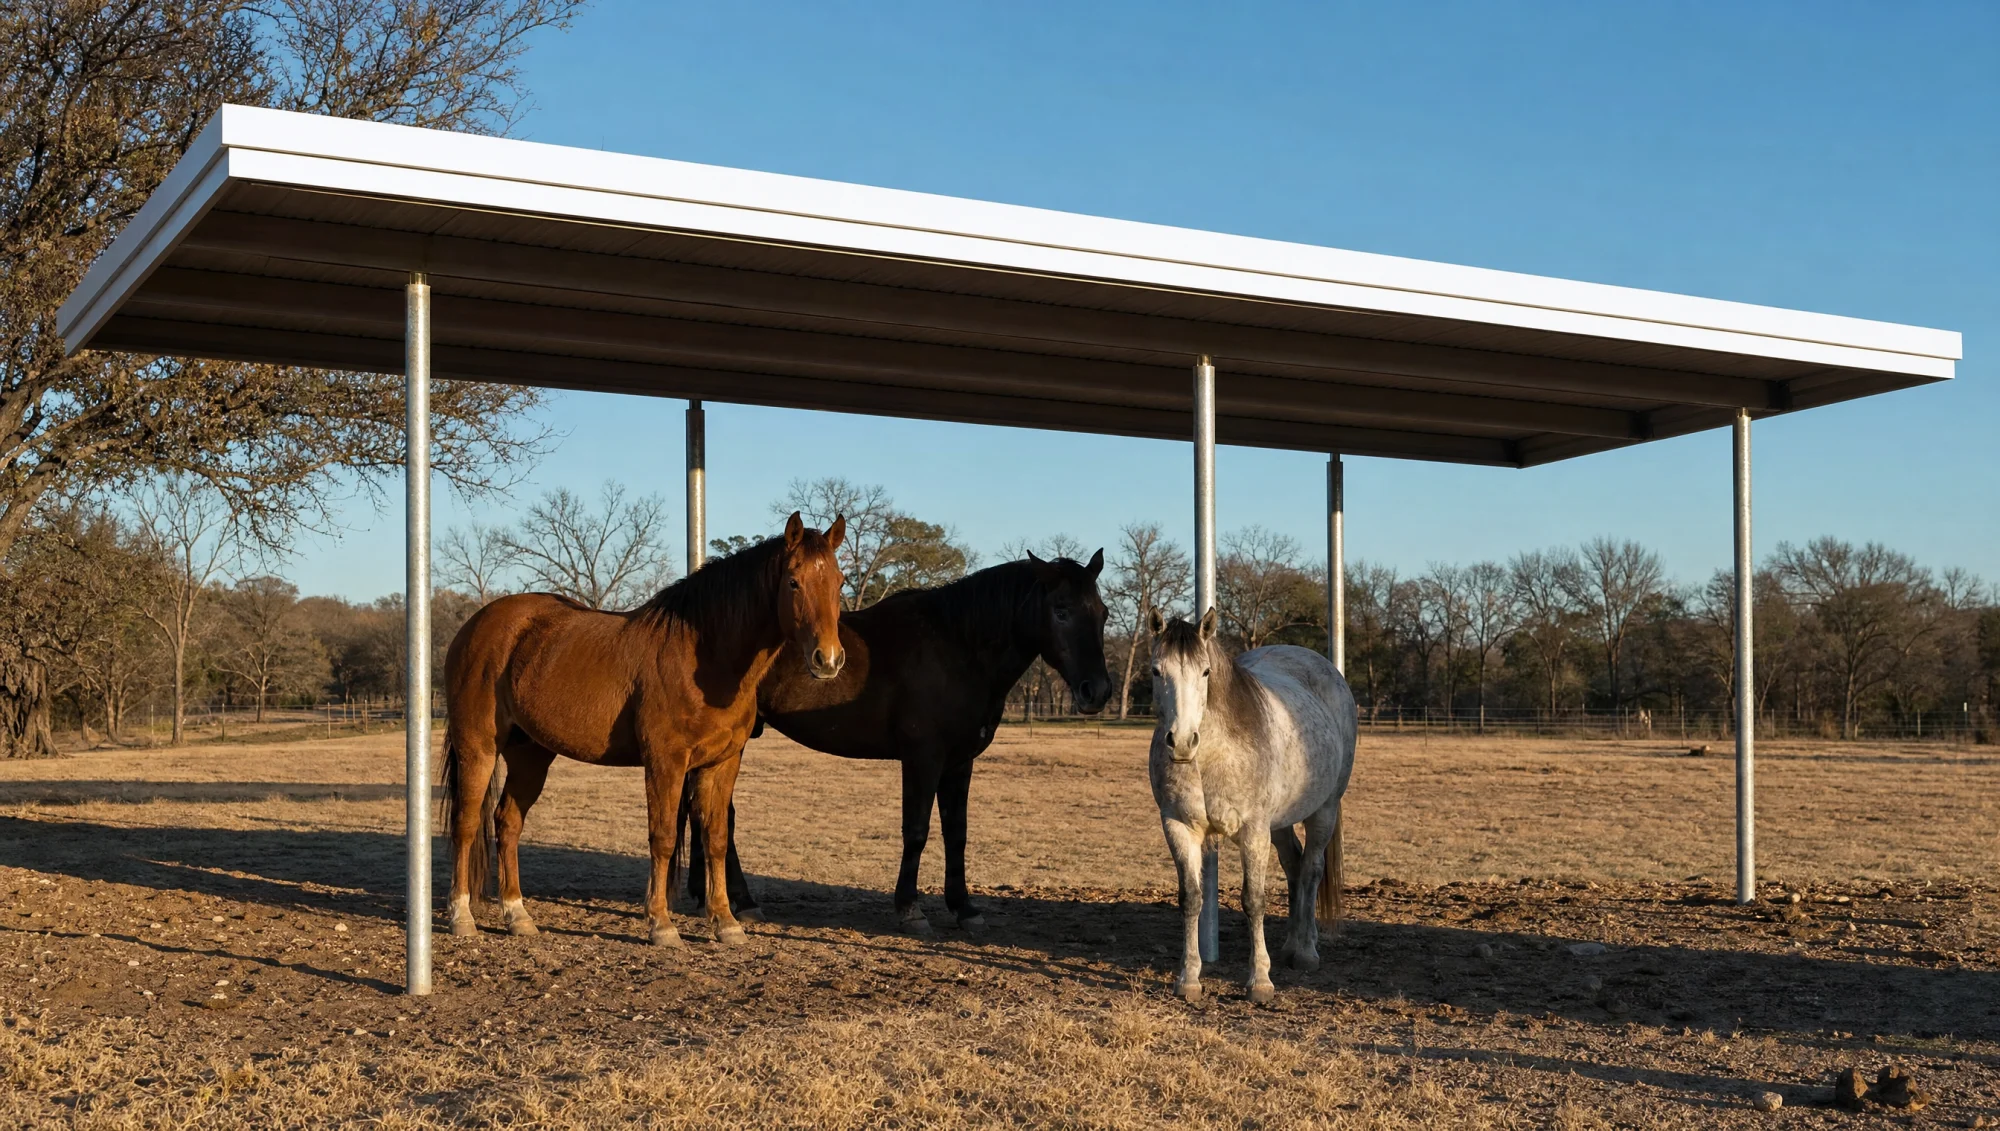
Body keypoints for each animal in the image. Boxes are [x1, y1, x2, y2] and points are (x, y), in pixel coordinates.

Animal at [439, 512, 847, 949]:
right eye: (793, 581)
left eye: (839, 582)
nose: (828, 659)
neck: (704, 656)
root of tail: (476, 626)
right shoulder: (665, 762)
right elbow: (663, 837)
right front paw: (661, 925)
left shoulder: (721, 763)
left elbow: (717, 839)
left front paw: (726, 923)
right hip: (478, 749)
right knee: (466, 825)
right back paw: (461, 917)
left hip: (530, 754)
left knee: (508, 823)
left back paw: (518, 916)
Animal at [686, 551, 1114, 934]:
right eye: (1061, 610)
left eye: (1104, 612)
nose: (1097, 691)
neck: (957, 646)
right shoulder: (923, 758)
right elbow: (918, 830)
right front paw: (910, 908)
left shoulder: (959, 761)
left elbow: (956, 832)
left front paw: (964, 908)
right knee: (719, 813)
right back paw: (742, 902)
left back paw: (703, 895)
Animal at [1147, 607, 1356, 1003]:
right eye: (1156, 671)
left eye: (1205, 672)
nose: (1181, 742)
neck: (1211, 758)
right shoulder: (1178, 827)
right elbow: (1191, 898)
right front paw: (1188, 978)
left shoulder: (1254, 831)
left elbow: (1253, 900)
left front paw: (1259, 981)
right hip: (1282, 823)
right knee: (1294, 866)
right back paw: (1291, 945)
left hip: (1323, 811)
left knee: (1311, 869)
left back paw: (1306, 951)